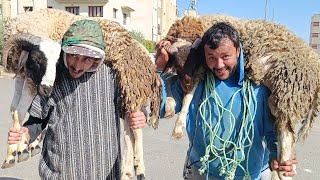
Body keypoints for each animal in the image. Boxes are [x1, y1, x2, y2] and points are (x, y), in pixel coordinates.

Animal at [1, 33, 61, 169]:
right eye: (36, 58)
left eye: (58, 63)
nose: (47, 89)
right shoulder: (23, 76)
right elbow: (15, 110)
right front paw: (10, 156)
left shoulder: (32, 84)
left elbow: (20, 111)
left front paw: (21, 150)